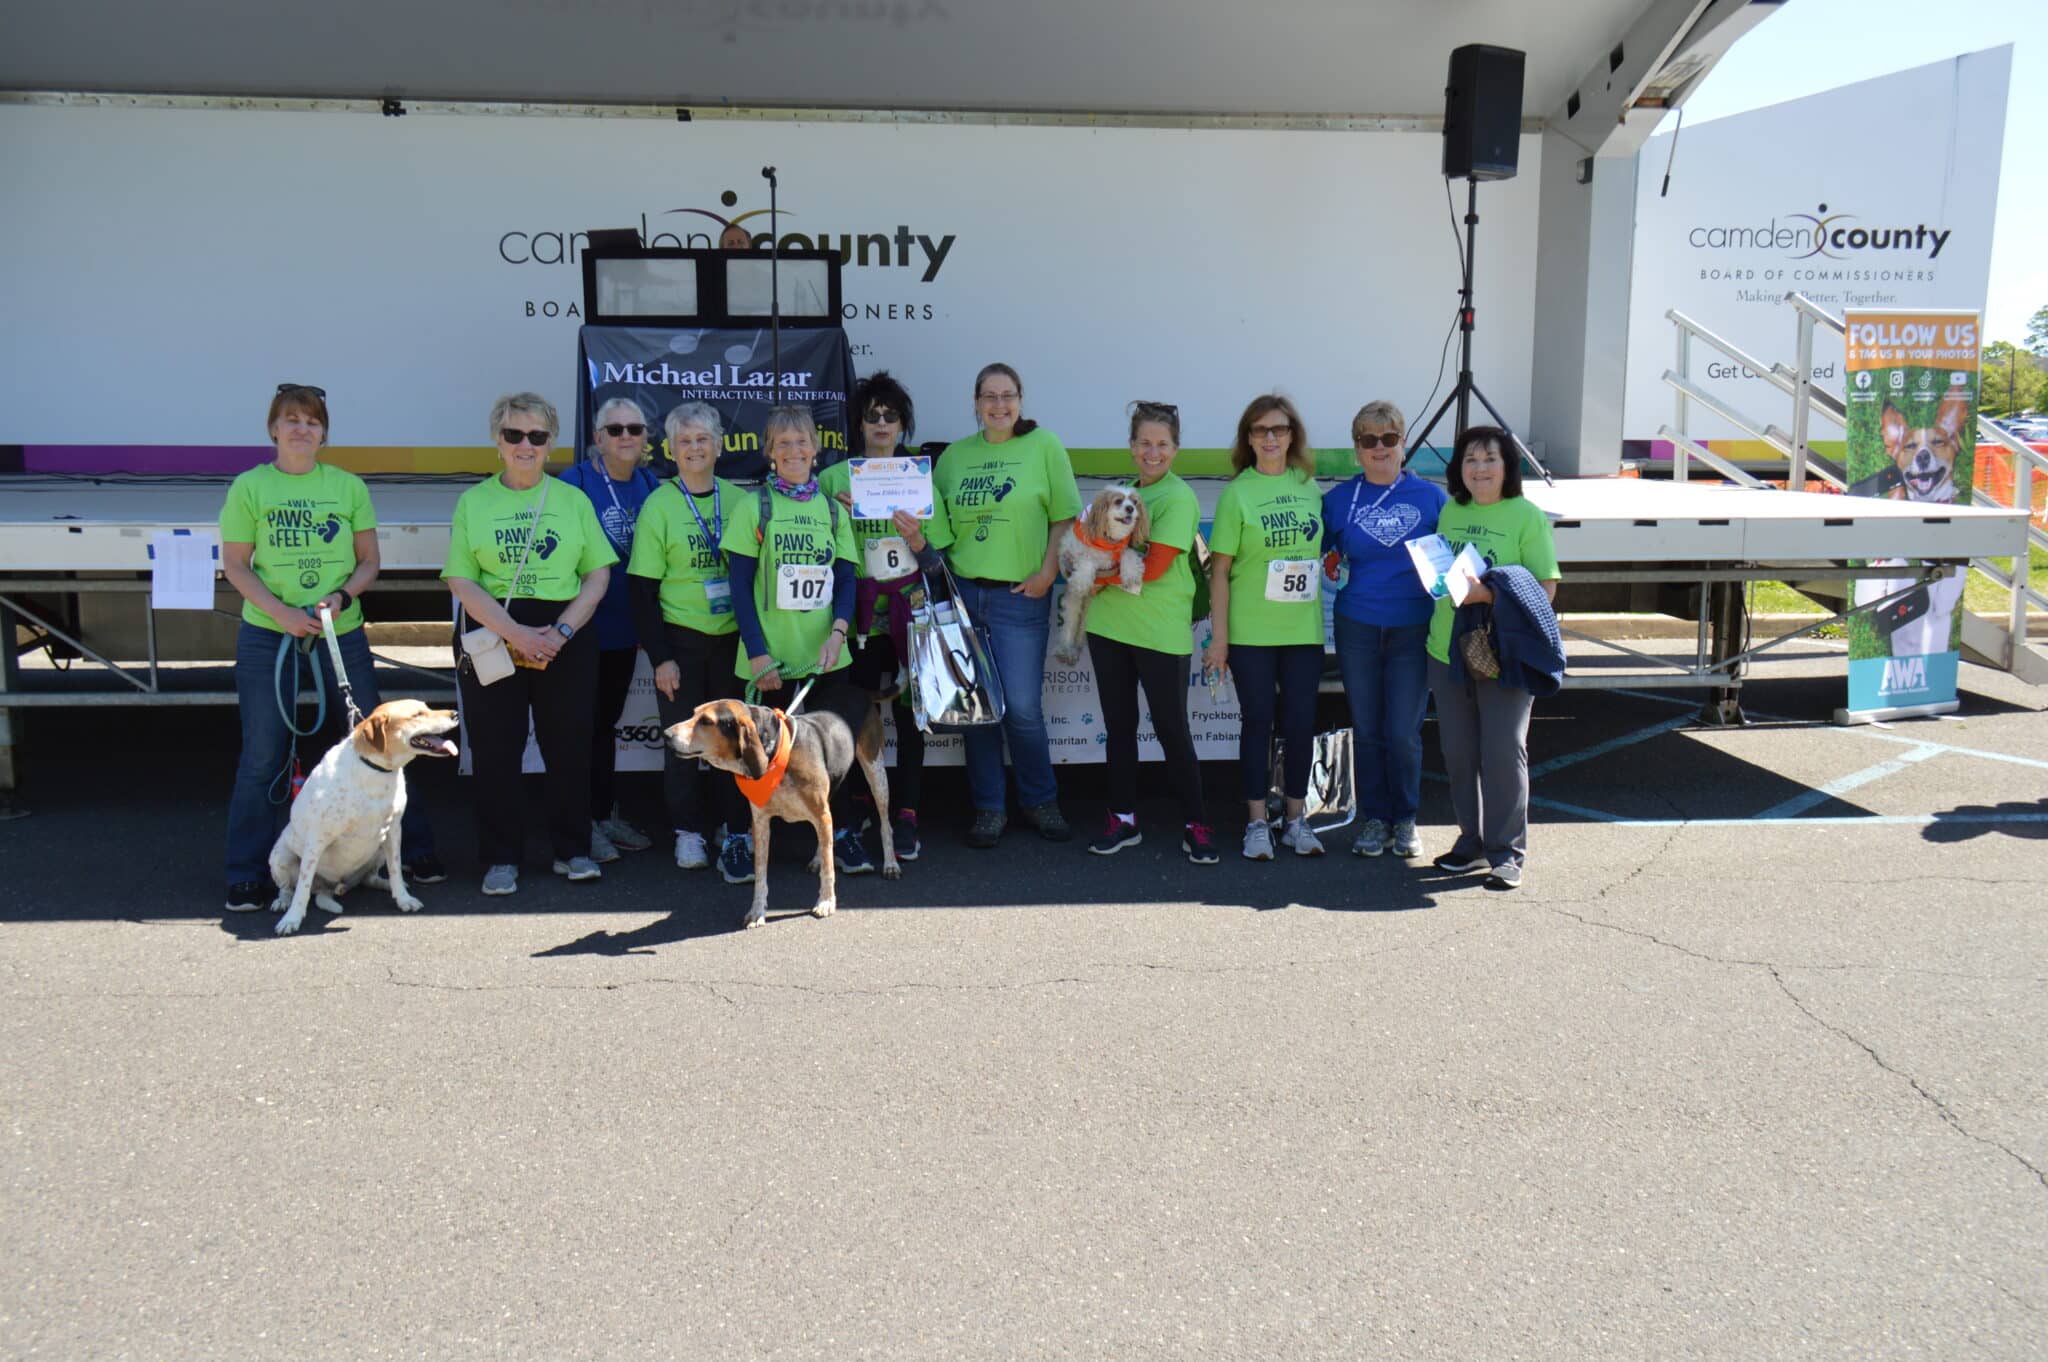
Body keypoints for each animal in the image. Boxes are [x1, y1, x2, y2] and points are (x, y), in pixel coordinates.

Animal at [268, 700, 460, 933]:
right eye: (417, 714)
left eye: (427, 707)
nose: (455, 714)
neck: (376, 770)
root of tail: (330, 886)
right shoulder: (317, 838)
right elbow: (302, 889)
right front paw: (292, 919)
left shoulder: (393, 830)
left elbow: (395, 869)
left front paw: (403, 898)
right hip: (280, 856)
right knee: (288, 888)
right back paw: (282, 902)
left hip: (378, 848)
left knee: (370, 878)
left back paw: (386, 886)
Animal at [667, 684, 901, 929]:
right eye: (694, 713)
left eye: (706, 721)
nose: (666, 735)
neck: (775, 752)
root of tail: (858, 688)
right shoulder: (761, 823)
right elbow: (761, 875)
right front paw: (757, 911)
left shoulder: (820, 813)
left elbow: (829, 870)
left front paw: (826, 902)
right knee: (825, 840)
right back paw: (817, 859)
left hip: (875, 772)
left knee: (884, 824)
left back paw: (891, 864)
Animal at [1056, 489, 1155, 663]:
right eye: (1118, 501)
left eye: (1135, 502)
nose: (1130, 508)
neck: (1110, 541)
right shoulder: (1072, 553)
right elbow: (1086, 561)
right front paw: (1082, 581)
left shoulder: (1121, 551)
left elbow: (1128, 554)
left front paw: (1131, 575)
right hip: (1073, 603)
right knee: (1070, 625)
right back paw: (1067, 651)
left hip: (1088, 609)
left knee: (1081, 629)